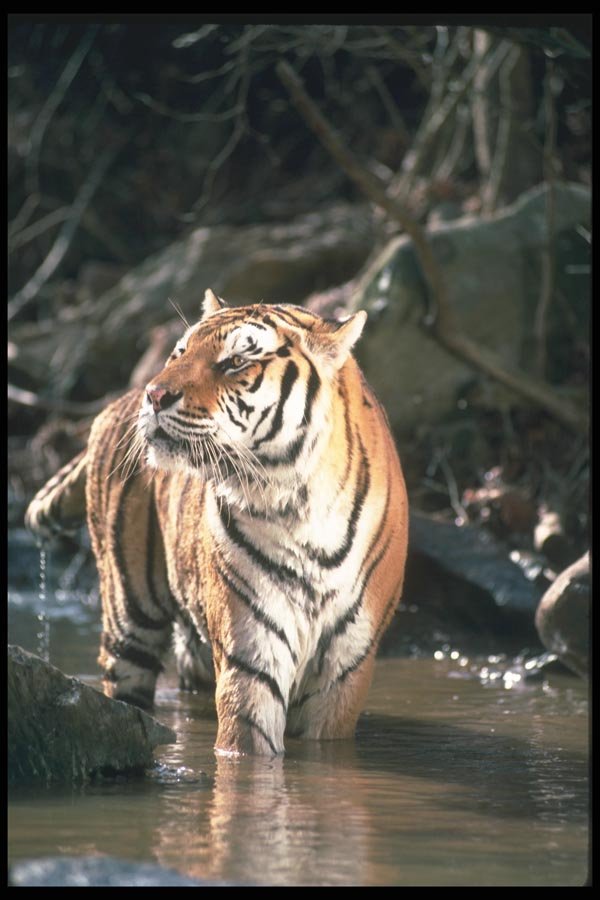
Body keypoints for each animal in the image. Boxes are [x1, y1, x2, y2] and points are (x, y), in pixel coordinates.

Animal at [26, 289, 409, 756]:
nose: (154, 395)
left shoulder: (345, 668)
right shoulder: (251, 647)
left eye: (236, 362)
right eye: (180, 353)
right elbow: (248, 743)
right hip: (128, 610)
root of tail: (115, 402)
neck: (299, 502)